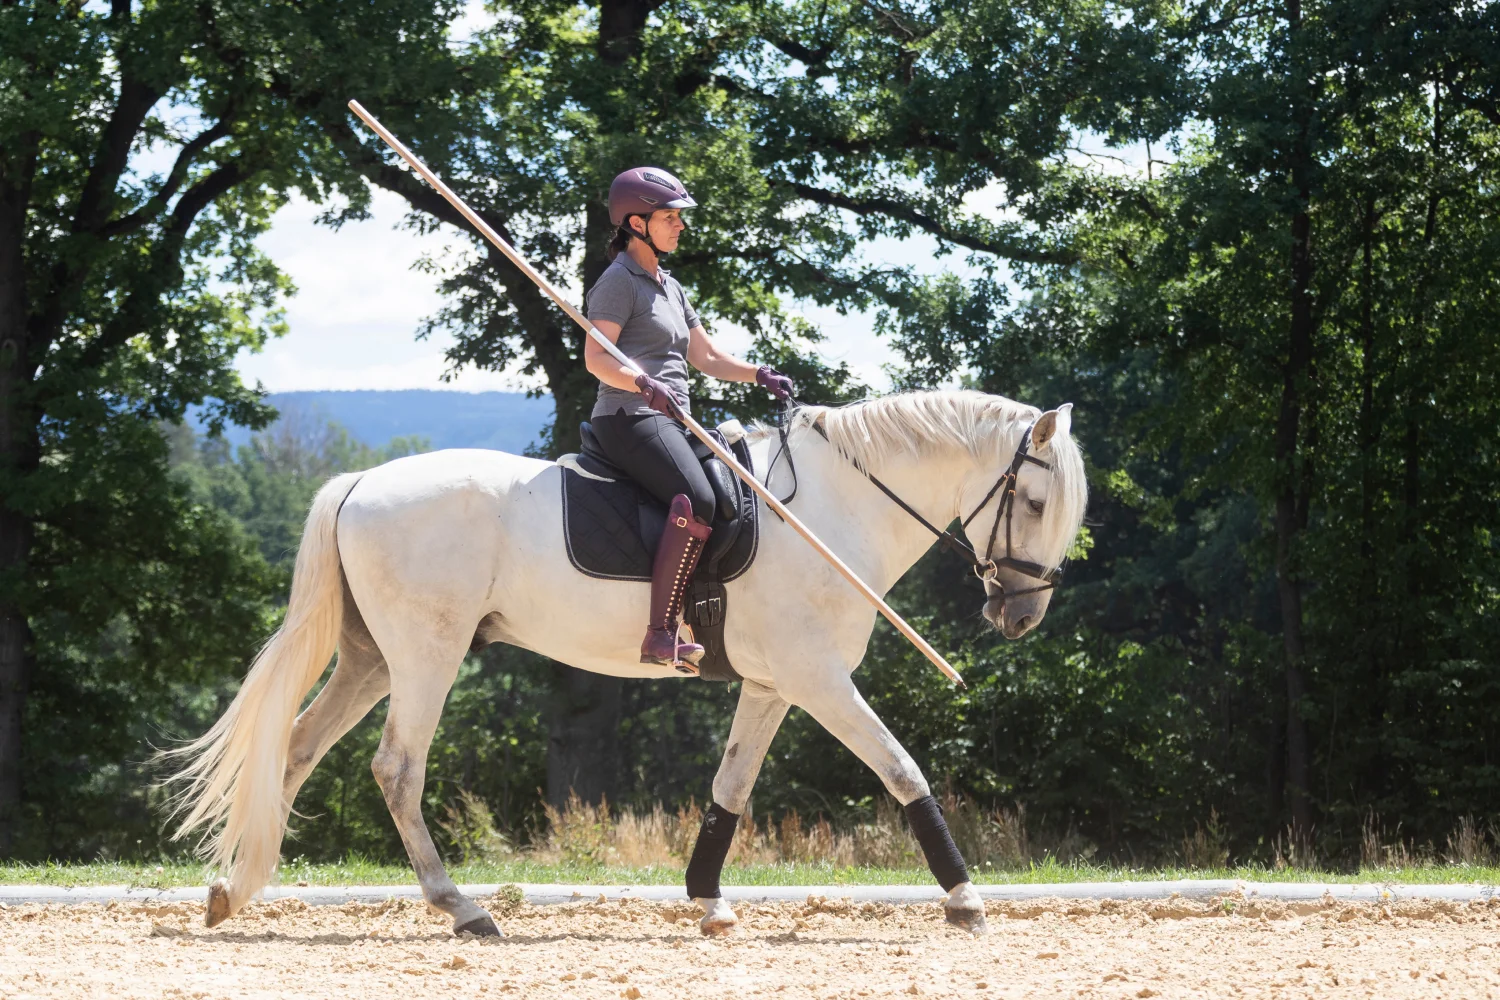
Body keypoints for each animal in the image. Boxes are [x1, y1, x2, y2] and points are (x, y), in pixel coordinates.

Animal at [167, 389, 1080, 941]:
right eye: (1035, 502)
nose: (1022, 615)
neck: (833, 511)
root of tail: (358, 483)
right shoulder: (819, 680)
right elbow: (901, 769)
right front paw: (964, 896)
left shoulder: (774, 685)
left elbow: (730, 788)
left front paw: (707, 899)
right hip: (427, 653)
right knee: (397, 767)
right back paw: (461, 909)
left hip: (371, 660)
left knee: (297, 748)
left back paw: (234, 889)